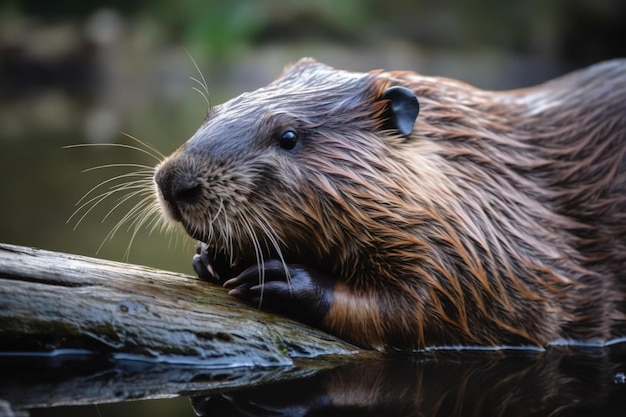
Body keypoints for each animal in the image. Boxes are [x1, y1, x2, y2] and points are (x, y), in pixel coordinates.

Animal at [152, 57, 624, 352]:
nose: (174, 182)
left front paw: (276, 279)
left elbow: (422, 309)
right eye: (213, 112)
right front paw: (211, 258)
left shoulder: (491, 251)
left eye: (288, 136)